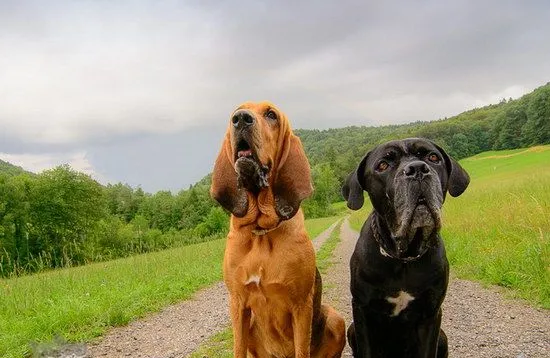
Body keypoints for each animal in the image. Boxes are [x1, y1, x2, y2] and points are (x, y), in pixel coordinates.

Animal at [211, 101, 344, 358]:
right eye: (236, 112)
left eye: (271, 115)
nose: (240, 119)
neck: (262, 231)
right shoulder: (238, 304)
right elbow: (238, 348)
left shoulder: (301, 307)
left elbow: (302, 349)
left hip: (336, 317)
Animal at [344, 138, 470, 356]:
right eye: (382, 165)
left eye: (433, 157)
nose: (417, 169)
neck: (403, 257)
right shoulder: (362, 309)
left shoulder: (431, 313)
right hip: (351, 329)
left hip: (443, 337)